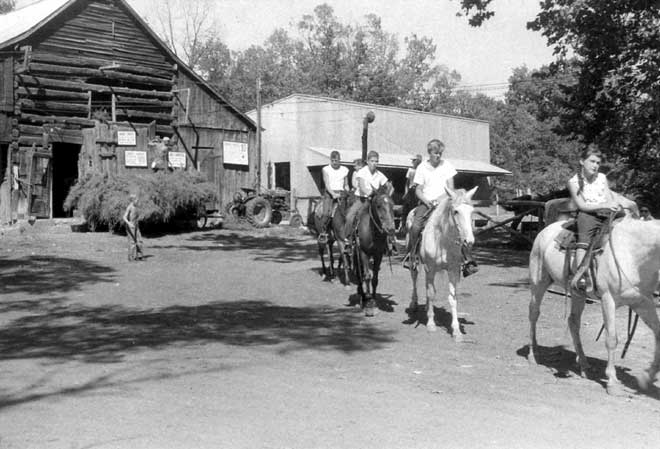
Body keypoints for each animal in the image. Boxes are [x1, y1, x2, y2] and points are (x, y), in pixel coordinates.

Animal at [350, 182, 398, 316]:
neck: (372, 232)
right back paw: (362, 297)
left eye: (392, 204)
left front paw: (374, 300)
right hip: (355, 253)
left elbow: (375, 278)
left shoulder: (378, 254)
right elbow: (367, 276)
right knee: (359, 273)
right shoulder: (363, 253)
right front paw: (369, 305)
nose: (390, 229)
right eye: (378, 205)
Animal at [404, 186, 476, 340]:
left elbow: (452, 298)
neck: (443, 241)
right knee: (415, 278)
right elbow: (432, 293)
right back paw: (414, 303)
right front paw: (431, 324)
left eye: (471, 211)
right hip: (415, 262)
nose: (469, 241)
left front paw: (456, 331)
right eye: (456, 211)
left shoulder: (453, 270)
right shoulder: (430, 268)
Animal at [528, 214, 660, 392]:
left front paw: (647, 378)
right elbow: (611, 339)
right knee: (534, 313)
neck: (633, 254)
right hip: (539, 282)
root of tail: (545, 230)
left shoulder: (642, 301)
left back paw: (584, 365)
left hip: (577, 293)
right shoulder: (608, 299)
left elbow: (658, 333)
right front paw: (612, 381)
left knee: (573, 321)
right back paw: (533, 355)